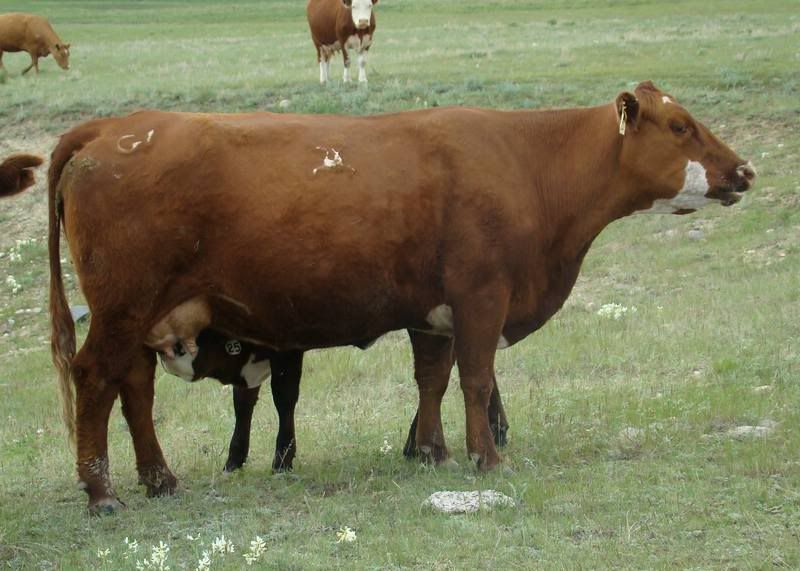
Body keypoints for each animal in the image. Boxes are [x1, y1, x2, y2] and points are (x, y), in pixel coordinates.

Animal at [14, 80, 753, 513]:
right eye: (681, 126)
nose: (744, 169)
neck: (527, 162)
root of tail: (110, 127)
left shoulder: (435, 312)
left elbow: (432, 380)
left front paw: (431, 451)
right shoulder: (482, 296)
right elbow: (475, 379)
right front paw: (487, 457)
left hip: (144, 314)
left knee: (133, 388)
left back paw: (159, 480)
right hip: (123, 306)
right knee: (96, 378)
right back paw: (102, 492)